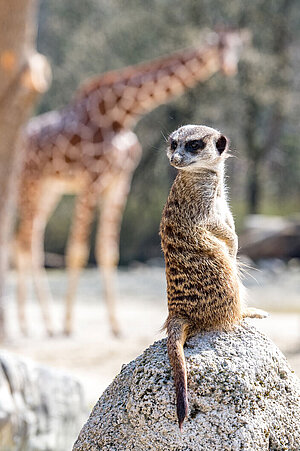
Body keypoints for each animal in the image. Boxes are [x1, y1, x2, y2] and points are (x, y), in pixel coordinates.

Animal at [14, 30, 246, 338]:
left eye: (238, 47)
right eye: (220, 46)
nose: (230, 68)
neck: (121, 113)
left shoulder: (119, 180)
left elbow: (108, 252)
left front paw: (115, 326)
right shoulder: (93, 178)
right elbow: (77, 251)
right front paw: (68, 325)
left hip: (50, 188)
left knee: (28, 239)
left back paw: (37, 323)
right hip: (30, 181)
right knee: (25, 241)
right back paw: (35, 325)